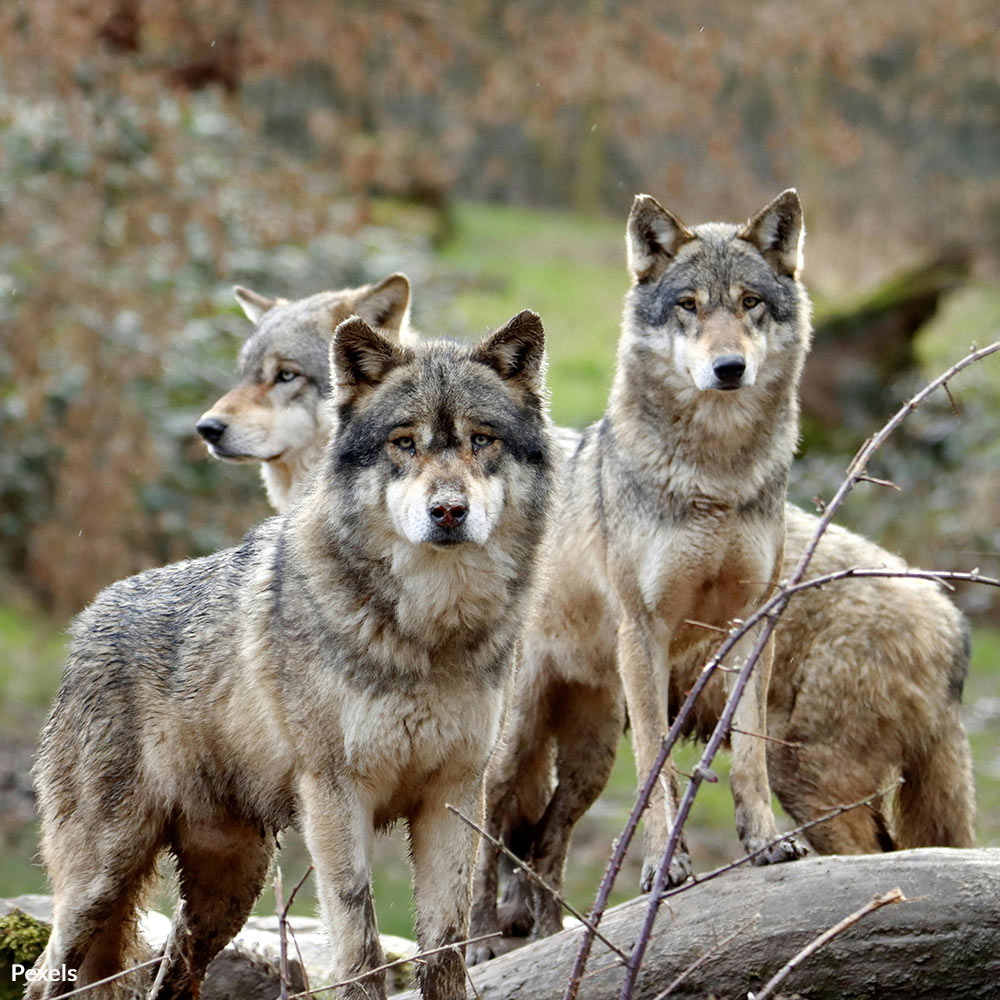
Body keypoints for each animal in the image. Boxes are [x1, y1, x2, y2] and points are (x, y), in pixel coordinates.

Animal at [29, 312, 556, 1000]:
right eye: (404, 443)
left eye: (481, 439)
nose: (448, 511)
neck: (427, 631)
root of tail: (88, 620)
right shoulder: (335, 798)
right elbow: (359, 946)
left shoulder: (455, 797)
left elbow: (445, 951)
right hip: (100, 881)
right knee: (47, 976)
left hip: (228, 888)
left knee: (172, 972)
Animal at [468, 195, 976, 959]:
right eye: (688, 306)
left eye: (749, 304)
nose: (729, 367)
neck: (716, 476)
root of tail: (952, 619)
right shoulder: (644, 634)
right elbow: (658, 772)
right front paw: (662, 867)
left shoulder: (752, 623)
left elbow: (745, 757)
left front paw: (764, 844)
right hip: (523, 739)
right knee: (489, 831)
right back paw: (476, 948)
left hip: (635, 755)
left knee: (546, 845)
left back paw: (556, 939)